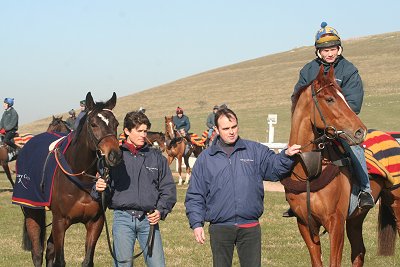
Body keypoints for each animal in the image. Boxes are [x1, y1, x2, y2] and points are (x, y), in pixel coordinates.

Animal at [13, 92, 122, 267]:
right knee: (37, 253)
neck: (80, 177)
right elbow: (59, 260)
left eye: (116, 123)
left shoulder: (96, 223)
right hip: (32, 212)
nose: (115, 155)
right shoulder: (60, 222)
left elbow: (87, 261)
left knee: (49, 249)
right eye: (93, 124)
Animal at [282, 65, 400, 267]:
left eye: (343, 96)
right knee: (359, 251)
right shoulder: (305, 224)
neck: (309, 171)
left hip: (397, 203)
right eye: (329, 99)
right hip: (356, 218)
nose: (360, 131)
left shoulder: (335, 222)